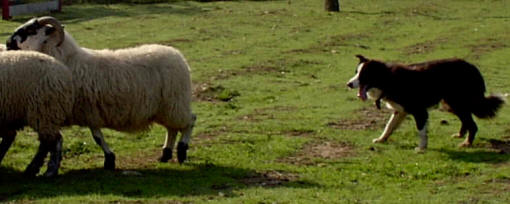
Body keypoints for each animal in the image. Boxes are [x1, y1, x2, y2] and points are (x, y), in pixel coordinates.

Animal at [6, 16, 196, 172]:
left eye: (31, 30)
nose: (7, 43)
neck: (68, 61)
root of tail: (179, 56)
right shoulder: (89, 112)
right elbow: (97, 137)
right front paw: (109, 159)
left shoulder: (86, 110)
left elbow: (97, 138)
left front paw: (109, 160)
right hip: (167, 107)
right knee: (172, 128)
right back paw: (165, 154)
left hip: (175, 102)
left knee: (190, 121)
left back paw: (181, 151)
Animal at [344, 55, 504, 152]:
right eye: (356, 72)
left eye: (363, 75)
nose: (348, 84)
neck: (388, 80)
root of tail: (472, 67)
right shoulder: (400, 110)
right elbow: (389, 126)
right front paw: (382, 139)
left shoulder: (419, 111)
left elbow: (421, 131)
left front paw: (421, 148)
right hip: (450, 104)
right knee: (467, 121)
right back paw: (460, 135)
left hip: (457, 102)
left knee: (472, 124)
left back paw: (467, 143)